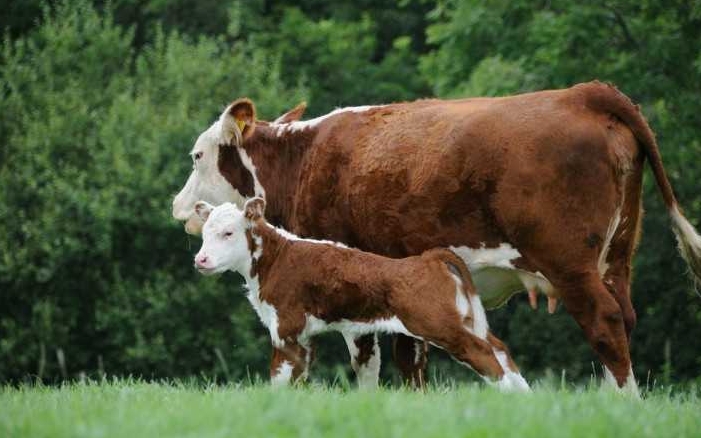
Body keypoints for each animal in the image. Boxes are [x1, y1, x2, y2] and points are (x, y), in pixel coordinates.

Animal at [193, 198, 532, 390]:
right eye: (205, 232)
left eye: (228, 233)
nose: (201, 260)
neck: (276, 259)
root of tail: (428, 258)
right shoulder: (303, 336)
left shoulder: (286, 330)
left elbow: (278, 379)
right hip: (464, 320)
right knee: (500, 349)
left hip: (440, 325)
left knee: (485, 354)